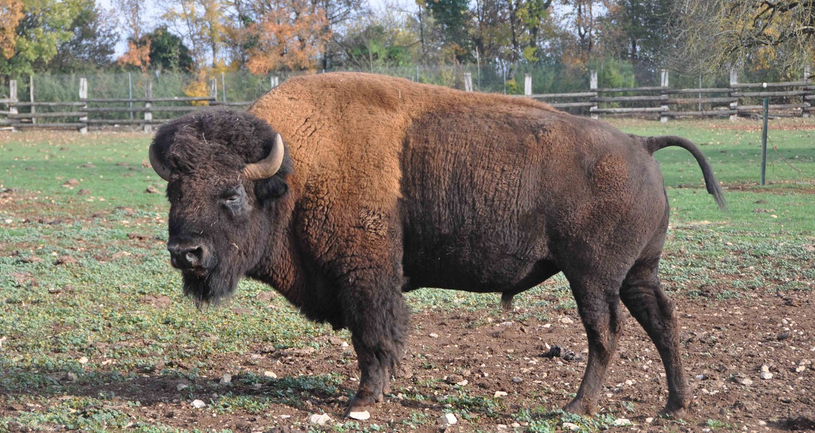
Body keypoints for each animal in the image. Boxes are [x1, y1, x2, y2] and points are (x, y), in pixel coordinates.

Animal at [148, 73, 725, 418]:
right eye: (174, 190)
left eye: (231, 193)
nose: (186, 253)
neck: (294, 171)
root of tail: (641, 144)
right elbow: (372, 337)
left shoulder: (365, 277)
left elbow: (373, 335)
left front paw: (363, 400)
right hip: (638, 272)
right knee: (662, 322)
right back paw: (674, 406)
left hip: (593, 277)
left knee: (605, 333)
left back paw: (575, 408)